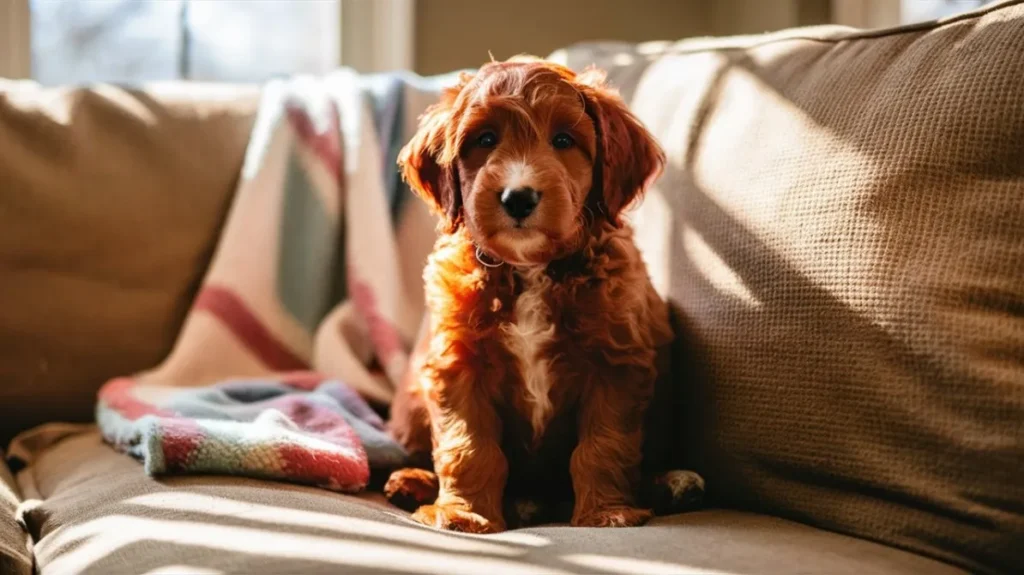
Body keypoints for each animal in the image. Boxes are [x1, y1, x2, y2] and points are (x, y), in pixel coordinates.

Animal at [385, 56, 704, 532]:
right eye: (484, 139)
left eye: (563, 140)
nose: (518, 197)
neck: (530, 270)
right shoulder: (459, 363)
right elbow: (469, 446)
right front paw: (465, 513)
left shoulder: (617, 364)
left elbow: (603, 447)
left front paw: (606, 513)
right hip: (409, 409)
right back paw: (412, 481)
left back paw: (673, 483)